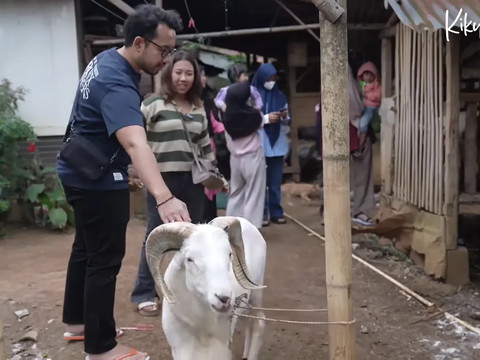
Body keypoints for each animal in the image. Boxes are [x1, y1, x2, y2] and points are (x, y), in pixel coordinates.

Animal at [145, 215, 266, 358]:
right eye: (189, 259)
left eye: (230, 254)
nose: (224, 298)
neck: (199, 324)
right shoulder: (180, 346)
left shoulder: (220, 346)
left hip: (255, 298)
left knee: (258, 325)